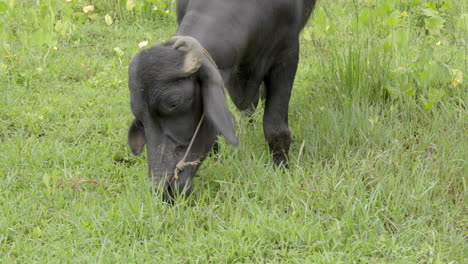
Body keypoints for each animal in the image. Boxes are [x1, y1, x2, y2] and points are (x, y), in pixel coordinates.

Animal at [128, 0, 316, 198]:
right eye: (140, 118)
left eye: (173, 102)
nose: (164, 189)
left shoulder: (287, 55)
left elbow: (275, 129)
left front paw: (281, 168)